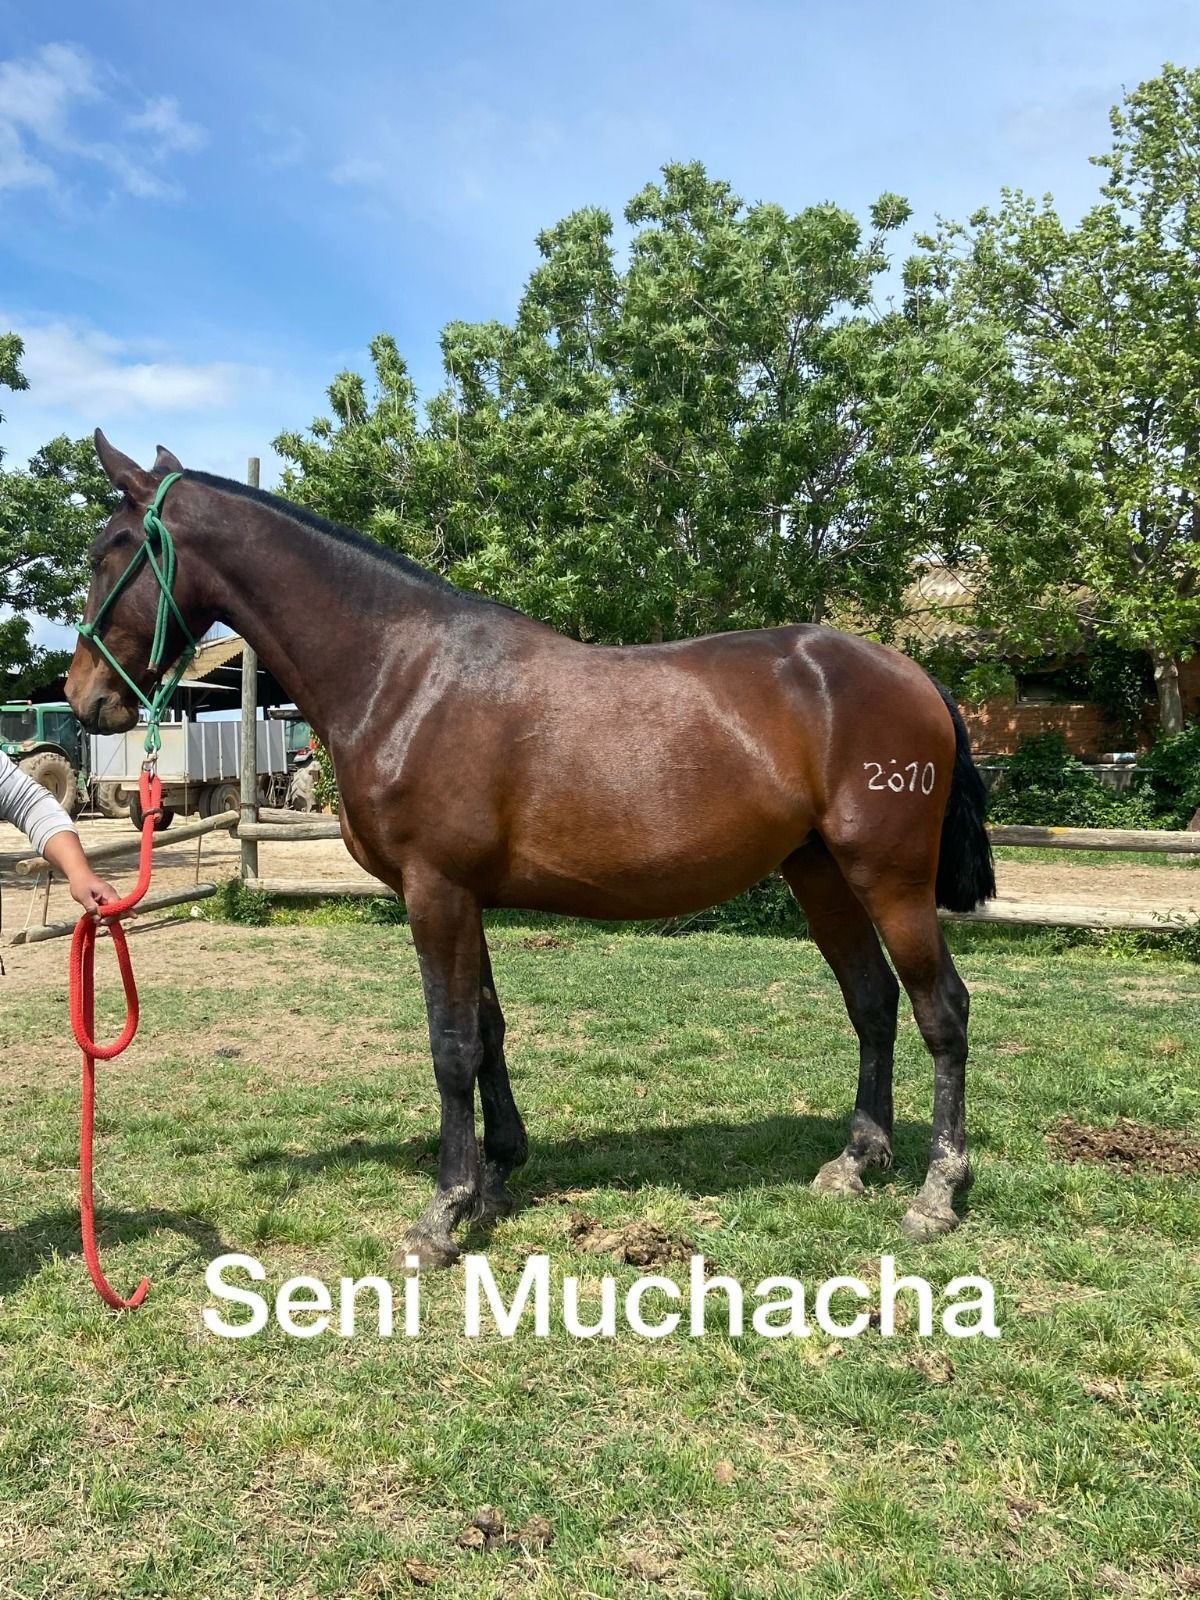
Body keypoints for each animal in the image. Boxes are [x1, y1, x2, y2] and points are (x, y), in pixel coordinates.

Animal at [66, 432, 995, 1267]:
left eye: (111, 551)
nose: (83, 697)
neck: (402, 672)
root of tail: (912, 674)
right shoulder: (463, 896)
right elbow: (488, 1030)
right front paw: (496, 1176)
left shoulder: (434, 891)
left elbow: (451, 1046)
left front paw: (442, 1213)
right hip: (820, 873)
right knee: (871, 1001)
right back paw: (857, 1160)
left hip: (889, 876)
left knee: (942, 1009)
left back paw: (938, 1192)